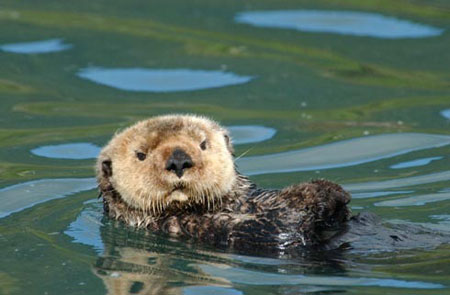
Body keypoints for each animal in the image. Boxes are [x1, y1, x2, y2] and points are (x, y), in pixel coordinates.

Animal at [96, 114, 354, 253]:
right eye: (141, 155)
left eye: (203, 144)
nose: (178, 160)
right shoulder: (206, 228)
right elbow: (282, 228)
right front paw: (306, 194)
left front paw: (328, 192)